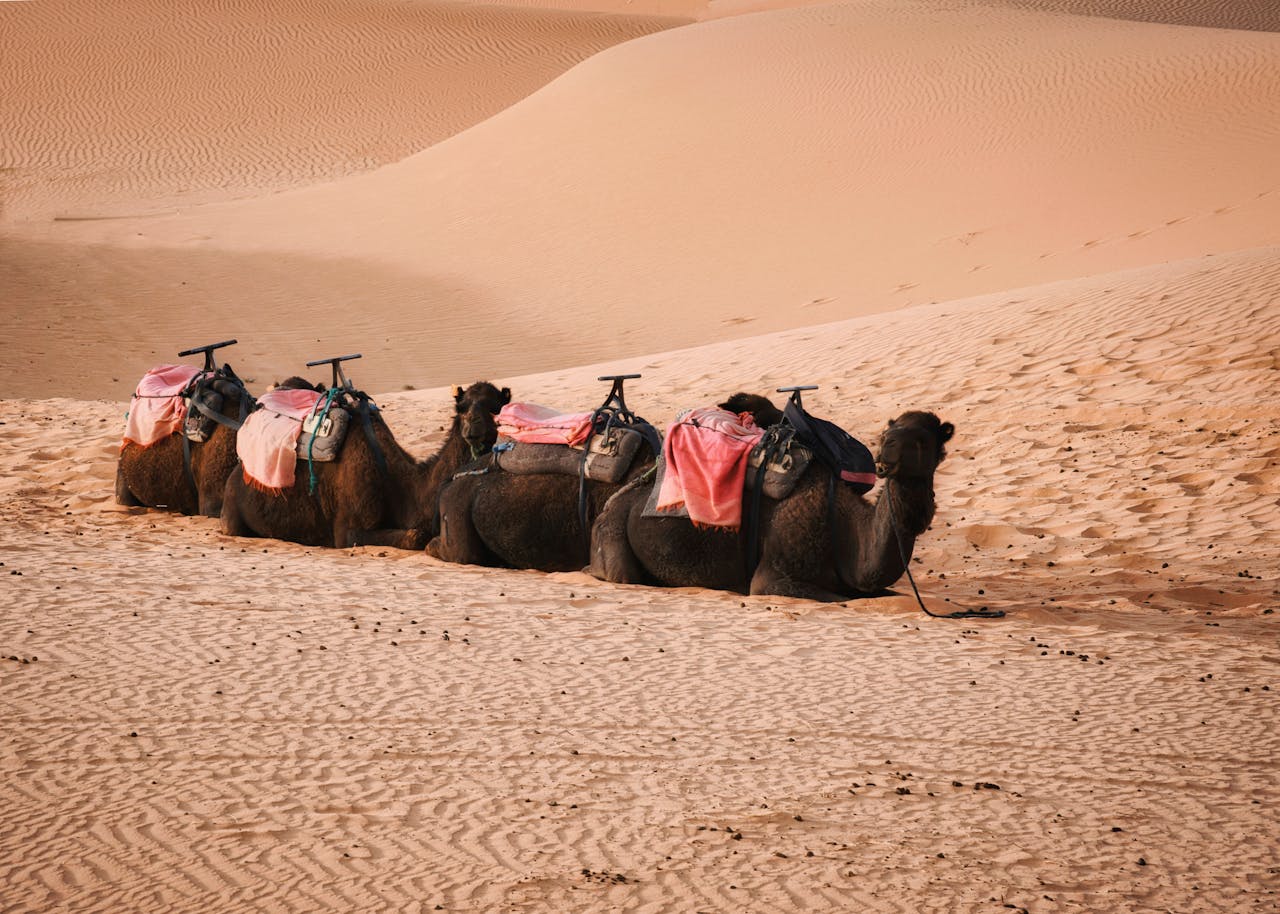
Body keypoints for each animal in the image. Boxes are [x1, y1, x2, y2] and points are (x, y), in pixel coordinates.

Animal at [220, 378, 509, 547]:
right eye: (461, 408)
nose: (472, 427)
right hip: (232, 512)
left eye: (495, 407)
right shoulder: (348, 529)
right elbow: (415, 536)